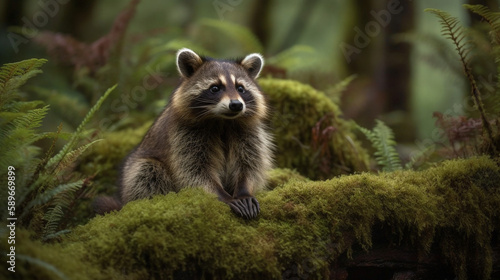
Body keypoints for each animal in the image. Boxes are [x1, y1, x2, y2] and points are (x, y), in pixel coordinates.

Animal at [94, 48, 274, 219]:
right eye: (215, 88)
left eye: (240, 88)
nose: (236, 105)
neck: (223, 121)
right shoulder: (184, 135)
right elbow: (194, 171)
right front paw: (223, 196)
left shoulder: (248, 132)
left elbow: (249, 164)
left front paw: (243, 191)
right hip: (135, 168)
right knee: (145, 171)